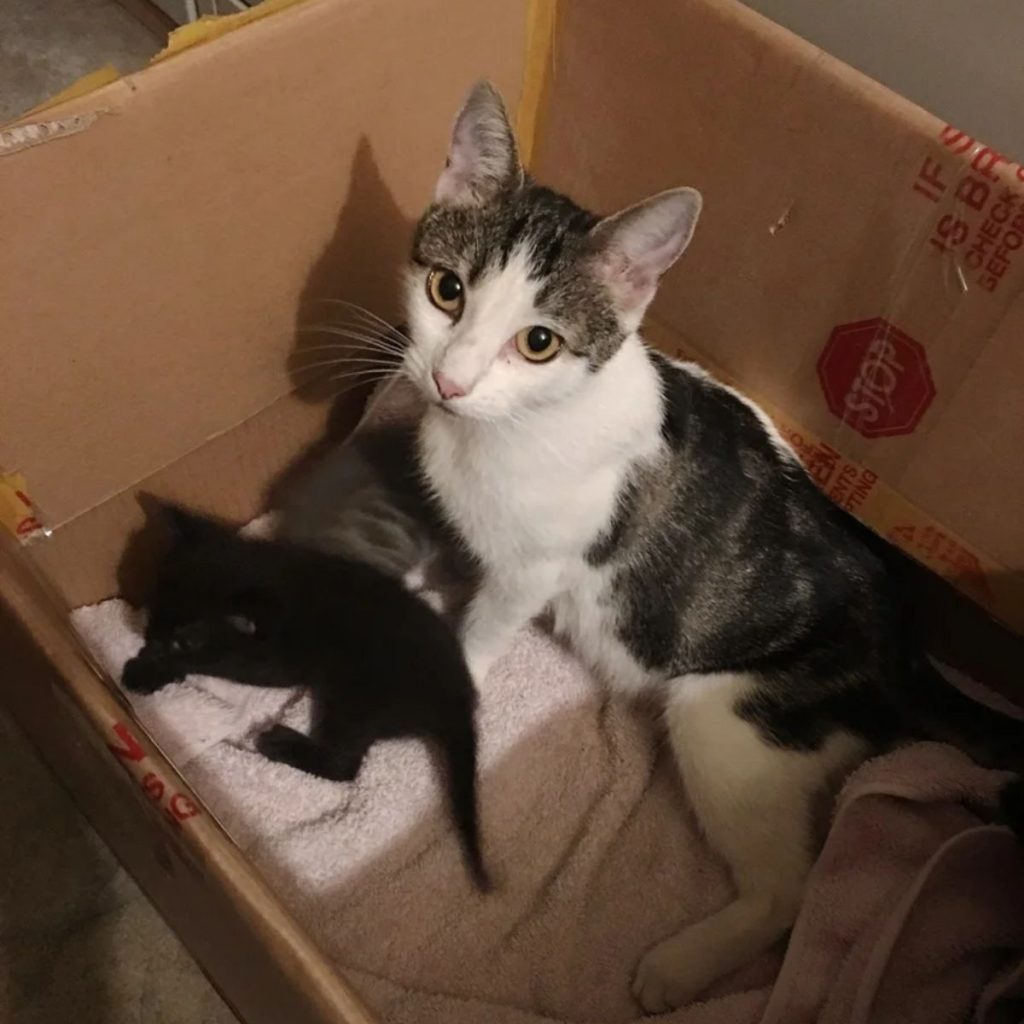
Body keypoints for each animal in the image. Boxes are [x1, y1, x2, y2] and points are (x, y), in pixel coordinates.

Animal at [121, 503, 489, 888]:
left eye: (184, 640)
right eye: (156, 600)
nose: (148, 636)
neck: (265, 571)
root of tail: (459, 699)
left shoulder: (276, 663)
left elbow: (212, 662)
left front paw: (147, 669)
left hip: (356, 698)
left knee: (344, 764)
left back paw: (278, 741)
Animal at [397, 79, 1015, 1007]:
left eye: (539, 342)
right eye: (445, 290)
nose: (449, 380)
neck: (498, 430)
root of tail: (909, 649)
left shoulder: (535, 568)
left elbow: (483, 628)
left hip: (729, 716)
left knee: (790, 891)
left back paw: (681, 965)